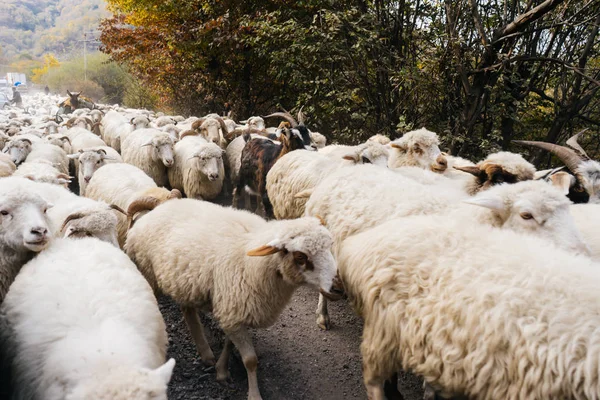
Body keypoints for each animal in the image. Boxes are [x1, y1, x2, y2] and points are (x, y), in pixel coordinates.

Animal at [125, 200, 342, 400]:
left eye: (330, 246)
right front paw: (254, 395)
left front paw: (221, 370)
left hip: (183, 283)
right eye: (300, 256)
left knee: (188, 311)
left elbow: (229, 342)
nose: (337, 288)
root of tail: (159, 208)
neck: (256, 264)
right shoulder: (232, 308)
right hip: (147, 272)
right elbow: (250, 360)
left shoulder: (232, 309)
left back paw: (205, 353)